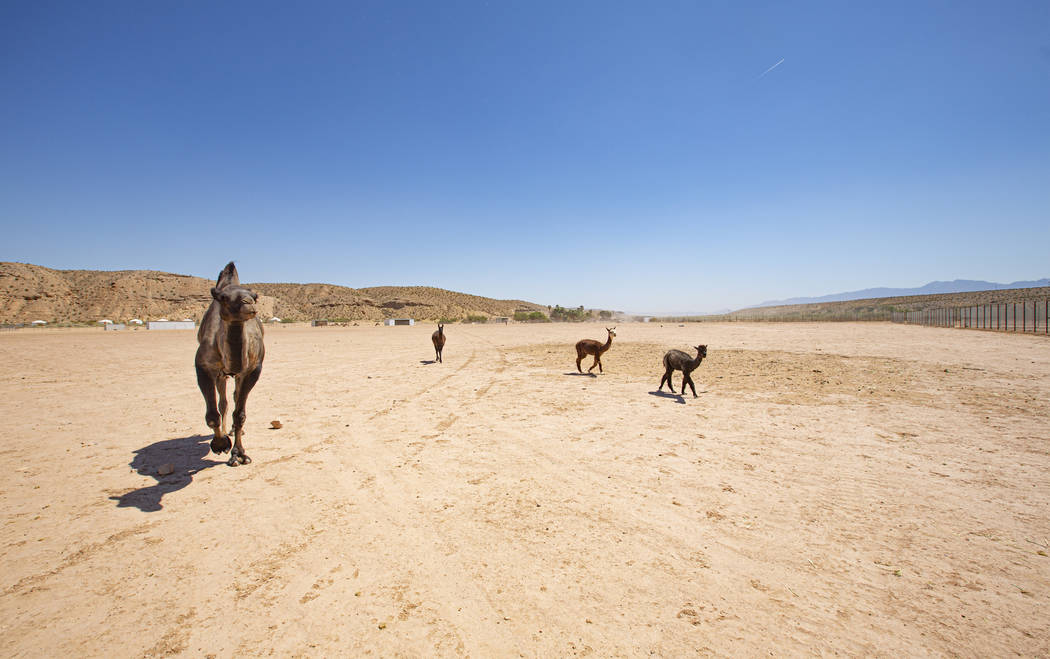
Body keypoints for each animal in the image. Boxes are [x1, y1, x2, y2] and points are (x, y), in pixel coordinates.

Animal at [195, 260, 264, 465]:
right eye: (223, 298)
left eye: (255, 297)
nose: (248, 303)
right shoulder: (204, 368)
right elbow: (212, 415)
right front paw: (220, 444)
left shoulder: (251, 371)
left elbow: (240, 414)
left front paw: (239, 455)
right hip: (221, 375)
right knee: (223, 403)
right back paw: (225, 433)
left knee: (233, 399)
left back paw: (233, 431)